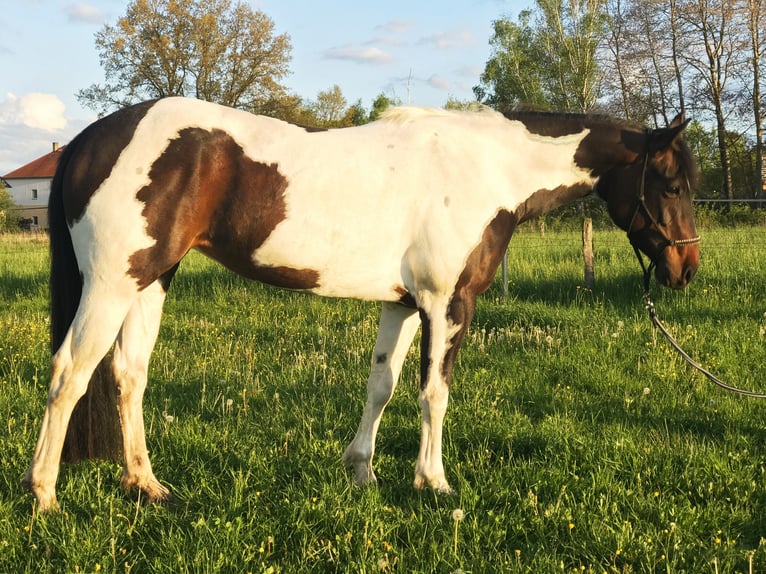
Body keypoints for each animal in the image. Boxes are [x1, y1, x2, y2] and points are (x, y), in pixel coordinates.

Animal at [24, 99, 700, 512]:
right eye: (670, 185)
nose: (685, 269)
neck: (484, 170)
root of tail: (88, 140)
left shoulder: (401, 306)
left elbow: (383, 385)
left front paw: (362, 472)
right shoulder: (447, 304)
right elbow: (433, 393)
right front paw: (434, 483)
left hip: (150, 281)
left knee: (127, 375)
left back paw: (147, 485)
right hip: (112, 283)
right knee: (69, 374)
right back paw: (45, 496)